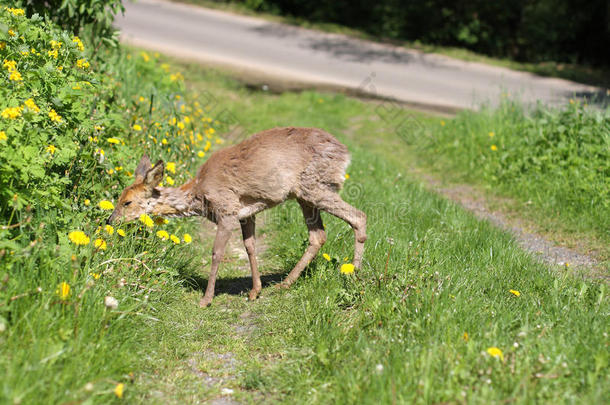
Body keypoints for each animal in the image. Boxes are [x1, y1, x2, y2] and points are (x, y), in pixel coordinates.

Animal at [106, 127, 366, 306]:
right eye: (119, 197)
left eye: (127, 202)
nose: (110, 221)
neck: (199, 194)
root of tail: (345, 154)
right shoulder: (245, 214)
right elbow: (249, 246)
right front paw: (255, 291)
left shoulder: (227, 211)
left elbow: (216, 253)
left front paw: (206, 300)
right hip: (304, 195)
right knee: (318, 235)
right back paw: (285, 284)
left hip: (316, 187)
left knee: (359, 216)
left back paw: (354, 275)